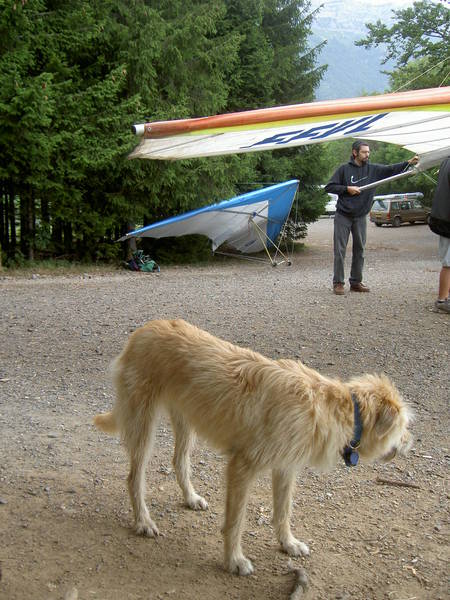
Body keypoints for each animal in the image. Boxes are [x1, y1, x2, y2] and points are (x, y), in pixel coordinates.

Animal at [94, 319, 412, 575]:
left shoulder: (285, 469)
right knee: (134, 478)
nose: (410, 442)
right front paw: (234, 561)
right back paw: (143, 521)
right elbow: (236, 521)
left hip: (186, 420)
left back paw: (191, 498)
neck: (332, 408)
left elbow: (283, 511)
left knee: (179, 462)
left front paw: (288, 543)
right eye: (404, 426)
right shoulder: (242, 468)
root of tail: (144, 330)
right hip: (143, 425)